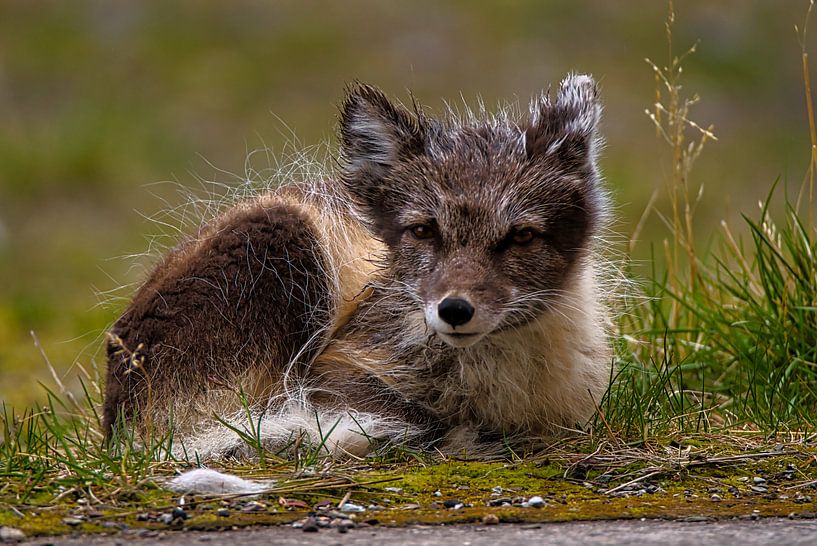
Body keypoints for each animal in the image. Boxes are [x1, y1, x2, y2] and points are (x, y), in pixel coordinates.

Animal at [103, 74, 613, 463]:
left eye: (521, 236)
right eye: (424, 230)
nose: (454, 310)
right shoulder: (331, 372)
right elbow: (405, 414)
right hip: (286, 240)